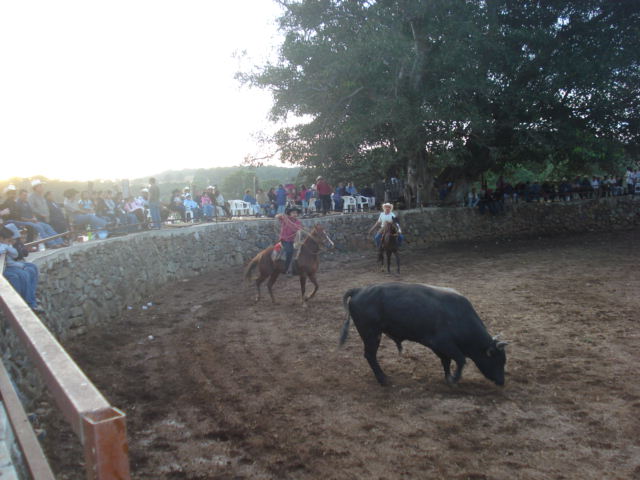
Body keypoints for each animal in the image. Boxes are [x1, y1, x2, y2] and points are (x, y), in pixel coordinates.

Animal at [338, 284, 508, 384]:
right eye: (497, 361)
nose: (502, 382)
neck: (458, 316)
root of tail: (359, 290)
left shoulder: (441, 348)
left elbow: (446, 361)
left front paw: (448, 377)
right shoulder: (442, 343)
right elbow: (461, 359)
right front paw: (455, 378)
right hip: (371, 335)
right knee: (370, 355)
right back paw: (383, 379)